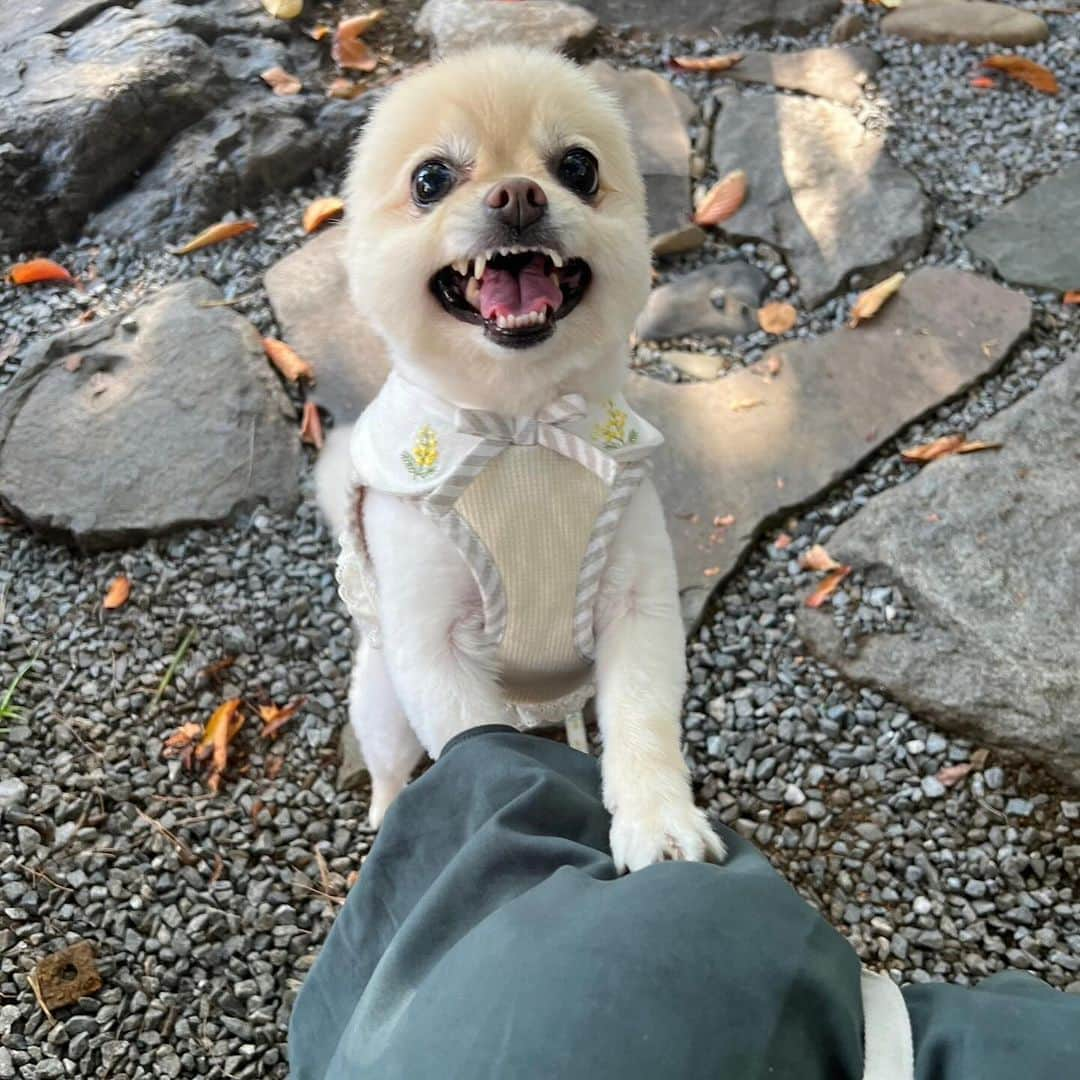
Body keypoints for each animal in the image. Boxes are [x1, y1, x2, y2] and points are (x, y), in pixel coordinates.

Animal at [319, 46, 725, 872]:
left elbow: (642, 726)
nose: (517, 194)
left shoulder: (635, 609)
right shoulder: (432, 644)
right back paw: (388, 811)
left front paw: (659, 823)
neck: (521, 425)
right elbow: (473, 733)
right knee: (390, 761)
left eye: (577, 167)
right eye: (431, 179)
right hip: (381, 701)